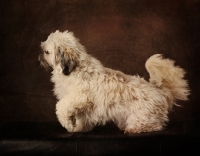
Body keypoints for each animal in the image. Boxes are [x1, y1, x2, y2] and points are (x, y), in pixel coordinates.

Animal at [38, 30, 190, 133]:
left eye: (46, 52)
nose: (39, 56)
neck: (75, 69)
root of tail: (159, 91)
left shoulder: (79, 97)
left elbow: (61, 107)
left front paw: (69, 125)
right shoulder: (81, 104)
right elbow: (81, 117)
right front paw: (79, 128)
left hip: (142, 115)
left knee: (155, 126)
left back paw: (133, 129)